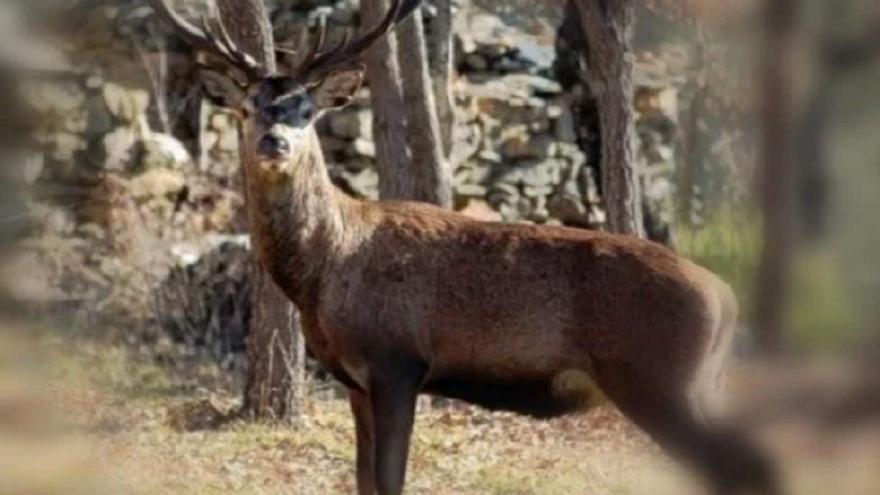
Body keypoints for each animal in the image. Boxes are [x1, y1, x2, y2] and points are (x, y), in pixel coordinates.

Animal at [153, 0, 776, 495]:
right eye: (246, 107)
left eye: (308, 110)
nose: (274, 141)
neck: (323, 272)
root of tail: (725, 298)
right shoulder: (355, 382)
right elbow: (361, 482)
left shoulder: (397, 361)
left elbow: (390, 481)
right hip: (696, 382)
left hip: (657, 375)